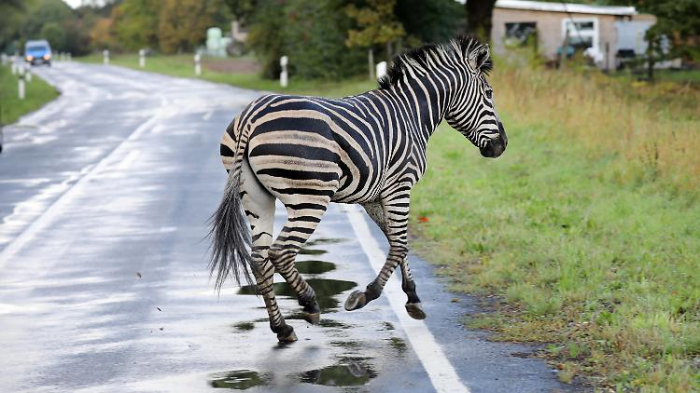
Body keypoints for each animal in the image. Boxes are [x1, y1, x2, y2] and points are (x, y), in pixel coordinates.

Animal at [209, 37, 508, 344]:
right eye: (489, 93)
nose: (502, 146)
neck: (411, 113)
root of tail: (251, 116)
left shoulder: (374, 197)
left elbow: (397, 241)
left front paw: (413, 298)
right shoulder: (400, 187)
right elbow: (399, 244)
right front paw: (366, 295)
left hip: (256, 196)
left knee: (259, 259)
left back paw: (283, 328)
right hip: (310, 197)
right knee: (280, 252)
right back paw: (309, 303)